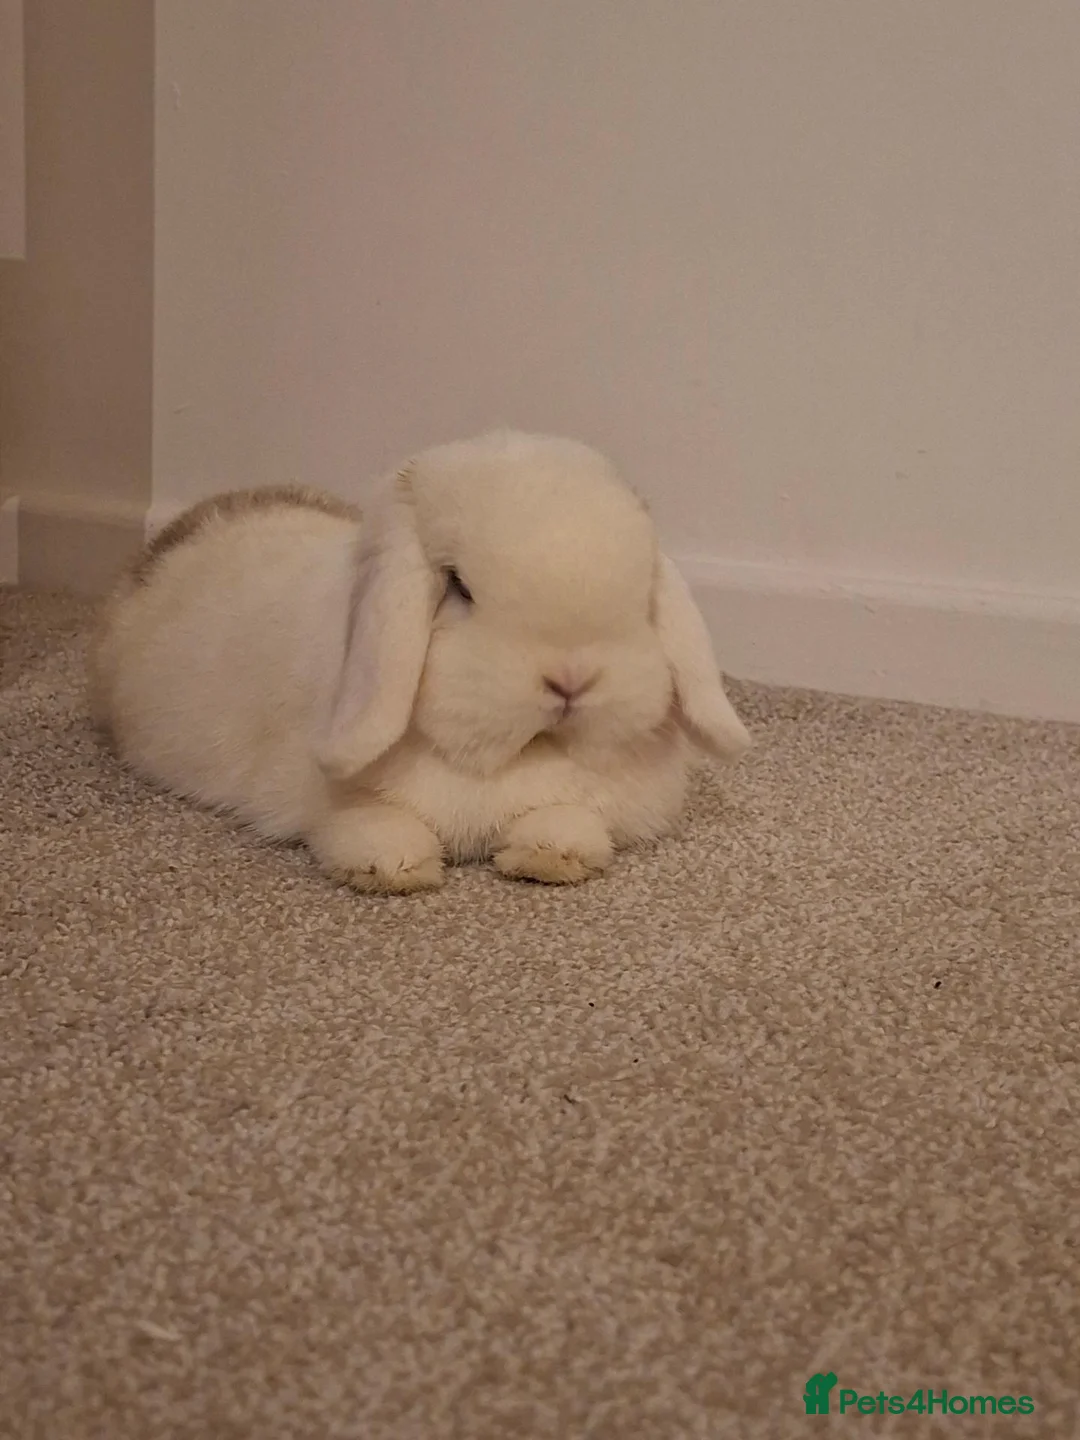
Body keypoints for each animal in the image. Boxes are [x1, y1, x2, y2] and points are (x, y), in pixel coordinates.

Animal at [89, 430, 751, 892]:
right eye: (458, 587)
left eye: (641, 597)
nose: (570, 680)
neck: (513, 758)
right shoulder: (330, 801)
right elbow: (367, 822)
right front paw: (395, 866)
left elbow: (567, 817)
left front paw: (550, 856)